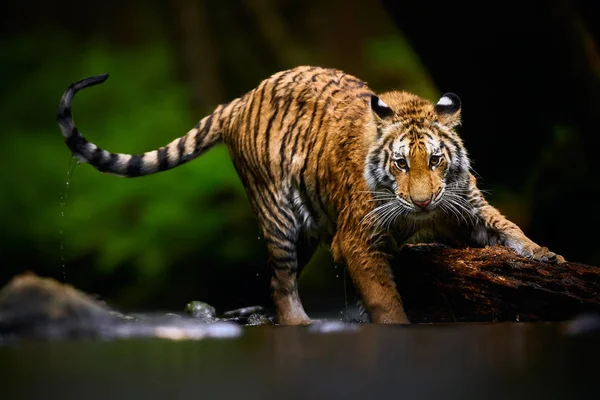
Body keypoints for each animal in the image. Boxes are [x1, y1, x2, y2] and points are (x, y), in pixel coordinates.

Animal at [56, 65, 564, 324]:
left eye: (436, 160)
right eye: (401, 163)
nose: (421, 202)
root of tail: (239, 99)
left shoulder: (466, 209)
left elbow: (510, 229)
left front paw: (550, 258)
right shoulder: (358, 241)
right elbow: (384, 300)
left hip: (304, 236)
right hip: (278, 218)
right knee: (280, 286)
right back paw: (302, 326)